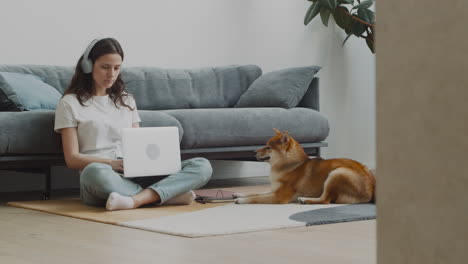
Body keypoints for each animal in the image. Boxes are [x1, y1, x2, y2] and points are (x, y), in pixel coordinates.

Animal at [234, 129, 376, 205]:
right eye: (265, 145)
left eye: (268, 147)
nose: (253, 152)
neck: (289, 166)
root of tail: (371, 188)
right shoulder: (274, 190)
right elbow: (256, 192)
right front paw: (239, 194)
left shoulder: (279, 196)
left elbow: (256, 197)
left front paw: (242, 200)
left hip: (337, 173)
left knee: (325, 200)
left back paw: (305, 200)